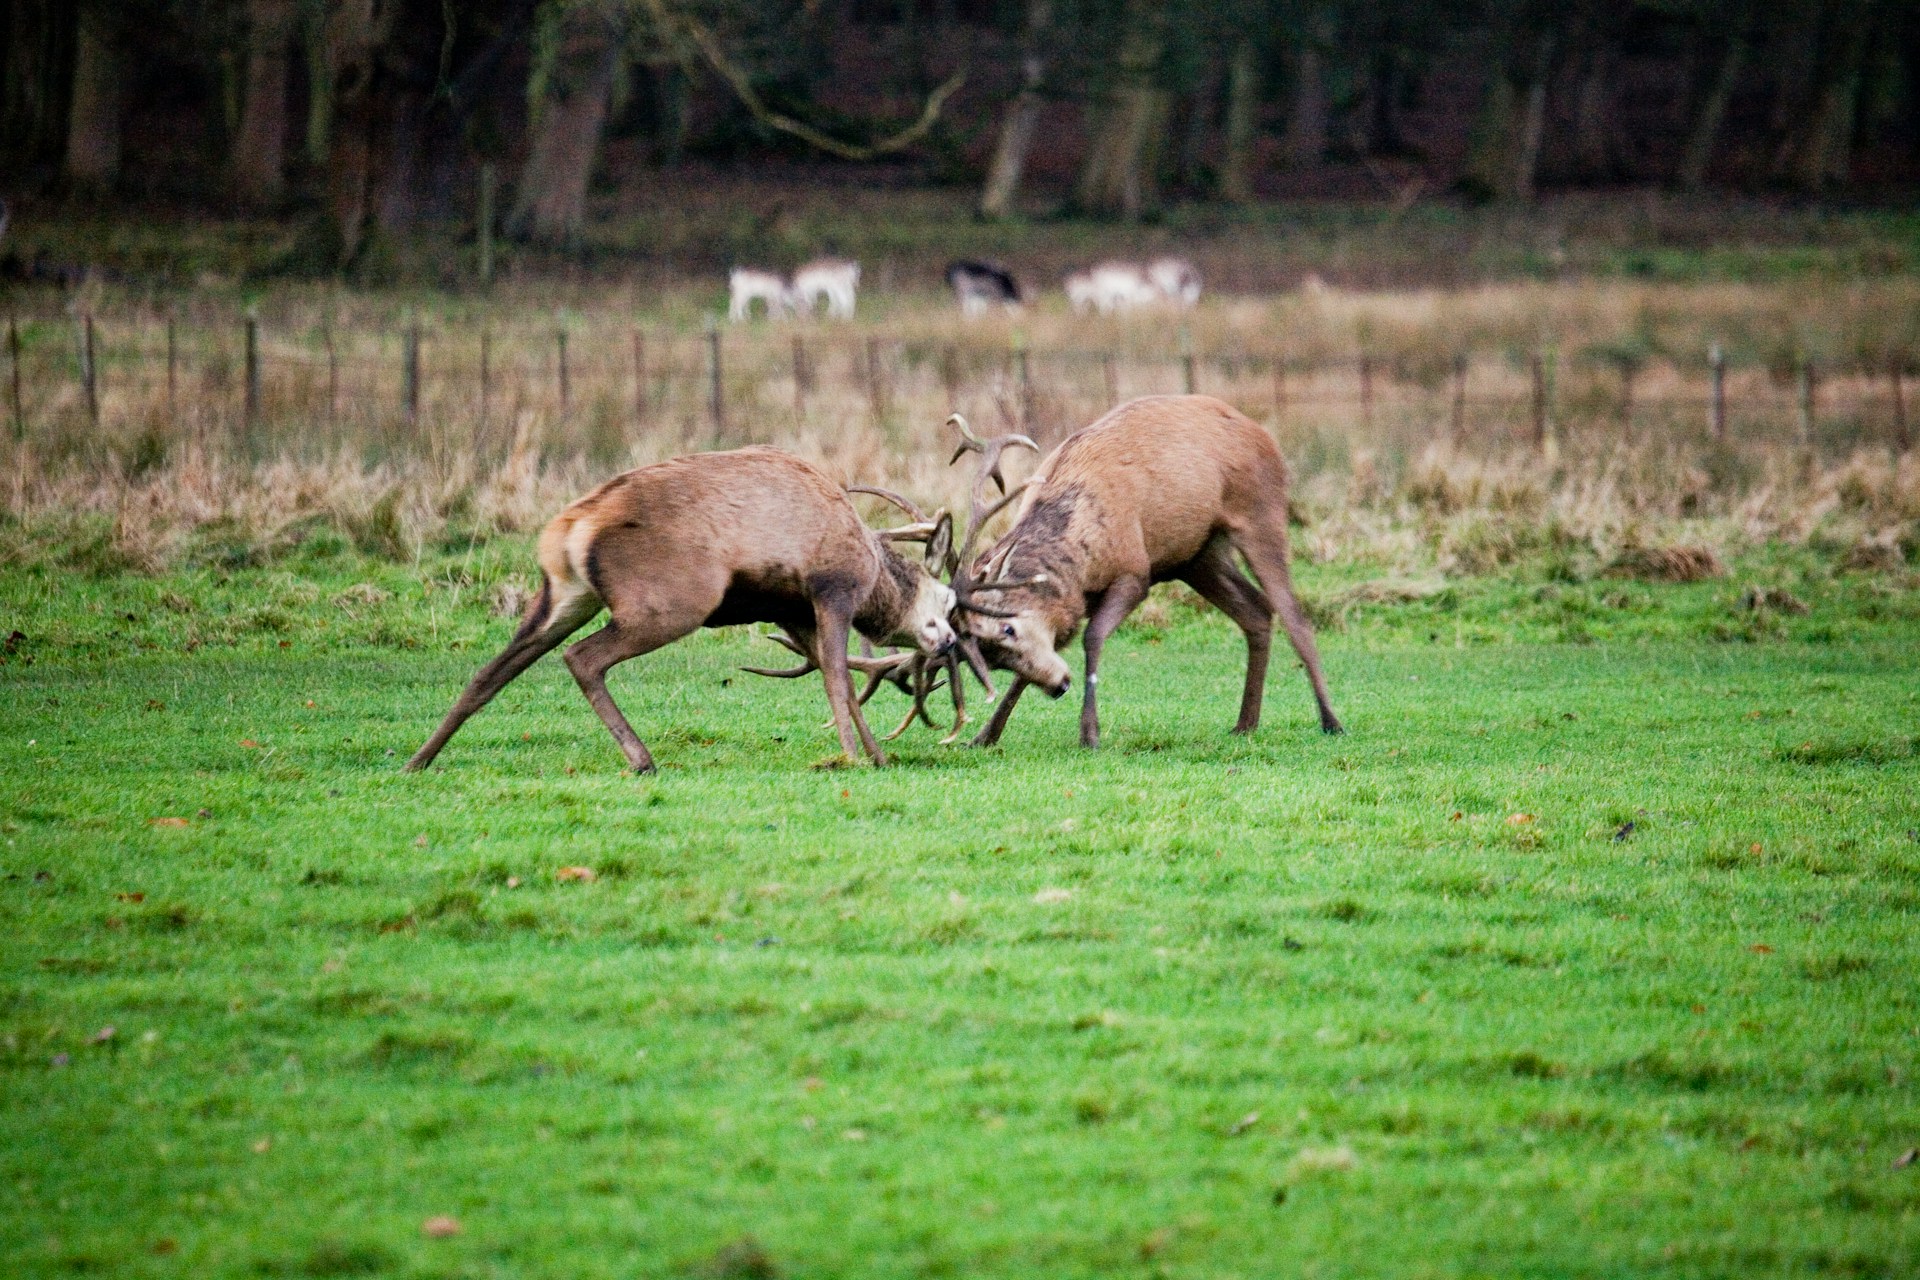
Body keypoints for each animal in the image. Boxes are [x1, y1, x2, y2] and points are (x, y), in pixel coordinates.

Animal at [401, 445, 956, 775]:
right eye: (948, 600)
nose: (949, 641)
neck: (874, 574)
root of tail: (571, 529)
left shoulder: (789, 609)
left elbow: (827, 670)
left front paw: (879, 755)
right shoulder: (830, 589)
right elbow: (839, 679)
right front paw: (852, 757)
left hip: (563, 596)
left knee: (492, 672)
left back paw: (418, 759)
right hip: (667, 602)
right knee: (582, 657)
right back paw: (640, 758)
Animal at [948, 401, 1344, 752]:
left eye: (1008, 628)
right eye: (992, 659)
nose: (1059, 686)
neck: (1080, 559)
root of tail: (1264, 434)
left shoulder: (1134, 570)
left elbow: (1093, 637)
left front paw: (1090, 734)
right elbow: (1043, 656)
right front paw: (984, 736)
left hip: (1261, 512)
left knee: (1294, 616)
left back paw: (1331, 721)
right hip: (1197, 556)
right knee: (1257, 609)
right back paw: (1245, 723)